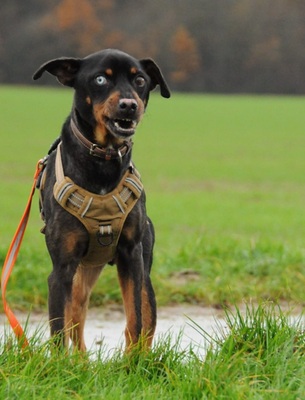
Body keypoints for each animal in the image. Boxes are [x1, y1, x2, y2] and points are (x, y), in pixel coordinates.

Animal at [33, 49, 171, 350]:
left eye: (140, 80)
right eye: (100, 79)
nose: (129, 105)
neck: (104, 158)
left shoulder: (132, 257)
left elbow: (136, 321)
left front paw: (133, 361)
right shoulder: (61, 270)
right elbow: (59, 333)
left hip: (142, 270)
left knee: (144, 322)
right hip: (79, 277)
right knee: (75, 319)